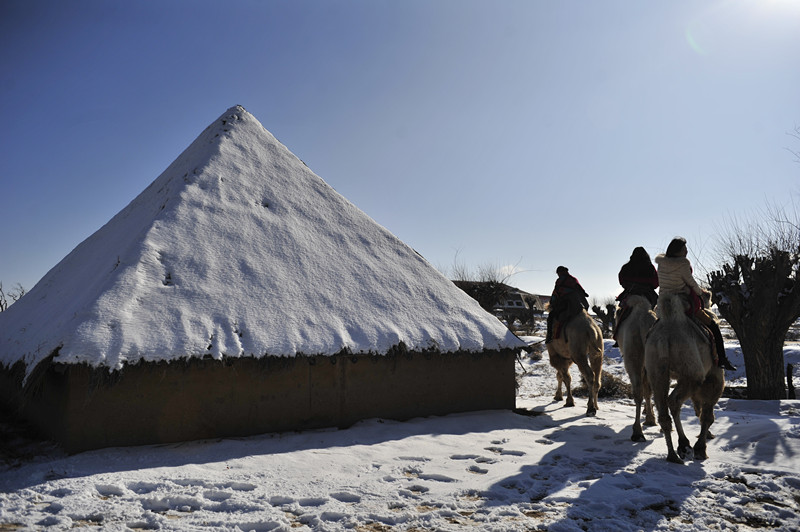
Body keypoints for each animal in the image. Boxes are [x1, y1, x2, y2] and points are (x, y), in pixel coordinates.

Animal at [644, 294, 724, 464]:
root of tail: (664, 335)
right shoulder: (715, 376)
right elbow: (707, 415)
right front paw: (701, 449)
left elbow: (699, 409)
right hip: (692, 373)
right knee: (674, 400)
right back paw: (684, 445)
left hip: (657, 371)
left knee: (664, 410)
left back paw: (673, 454)